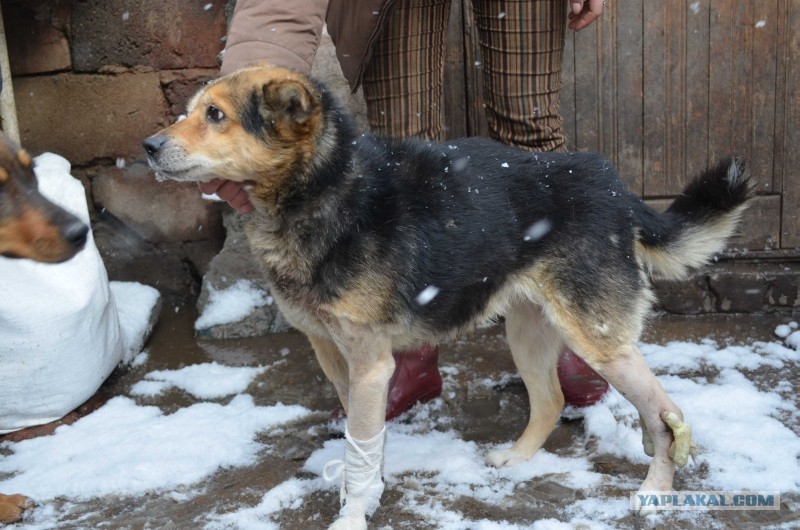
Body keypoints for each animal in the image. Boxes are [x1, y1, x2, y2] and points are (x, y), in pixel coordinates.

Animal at [145, 65, 753, 529]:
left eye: (215, 115)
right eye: (191, 110)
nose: (147, 146)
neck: (322, 187)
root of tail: (617, 188)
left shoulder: (370, 363)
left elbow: (360, 440)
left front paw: (353, 513)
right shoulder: (334, 356)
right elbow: (361, 437)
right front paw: (366, 486)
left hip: (598, 338)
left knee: (665, 414)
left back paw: (654, 491)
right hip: (528, 329)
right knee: (551, 400)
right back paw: (517, 458)